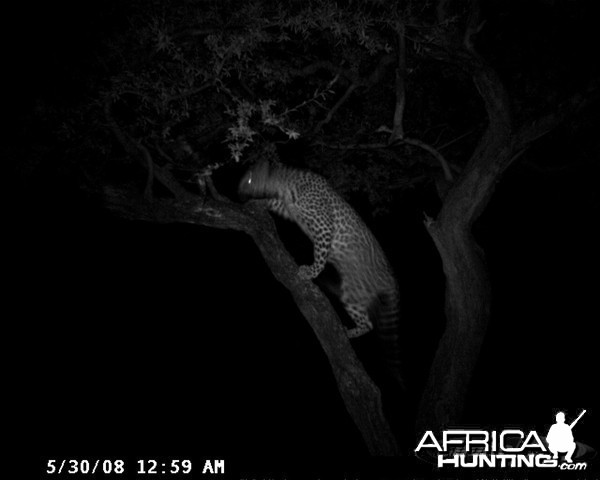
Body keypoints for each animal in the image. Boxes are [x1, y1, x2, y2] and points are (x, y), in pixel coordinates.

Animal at [239, 161, 404, 386]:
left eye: (248, 179)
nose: (238, 190)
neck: (286, 184)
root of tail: (390, 277)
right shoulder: (288, 209)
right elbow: (273, 202)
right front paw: (256, 203)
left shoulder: (324, 227)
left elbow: (320, 257)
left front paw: (309, 272)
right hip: (354, 294)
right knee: (368, 323)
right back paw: (349, 332)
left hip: (355, 289)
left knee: (369, 323)